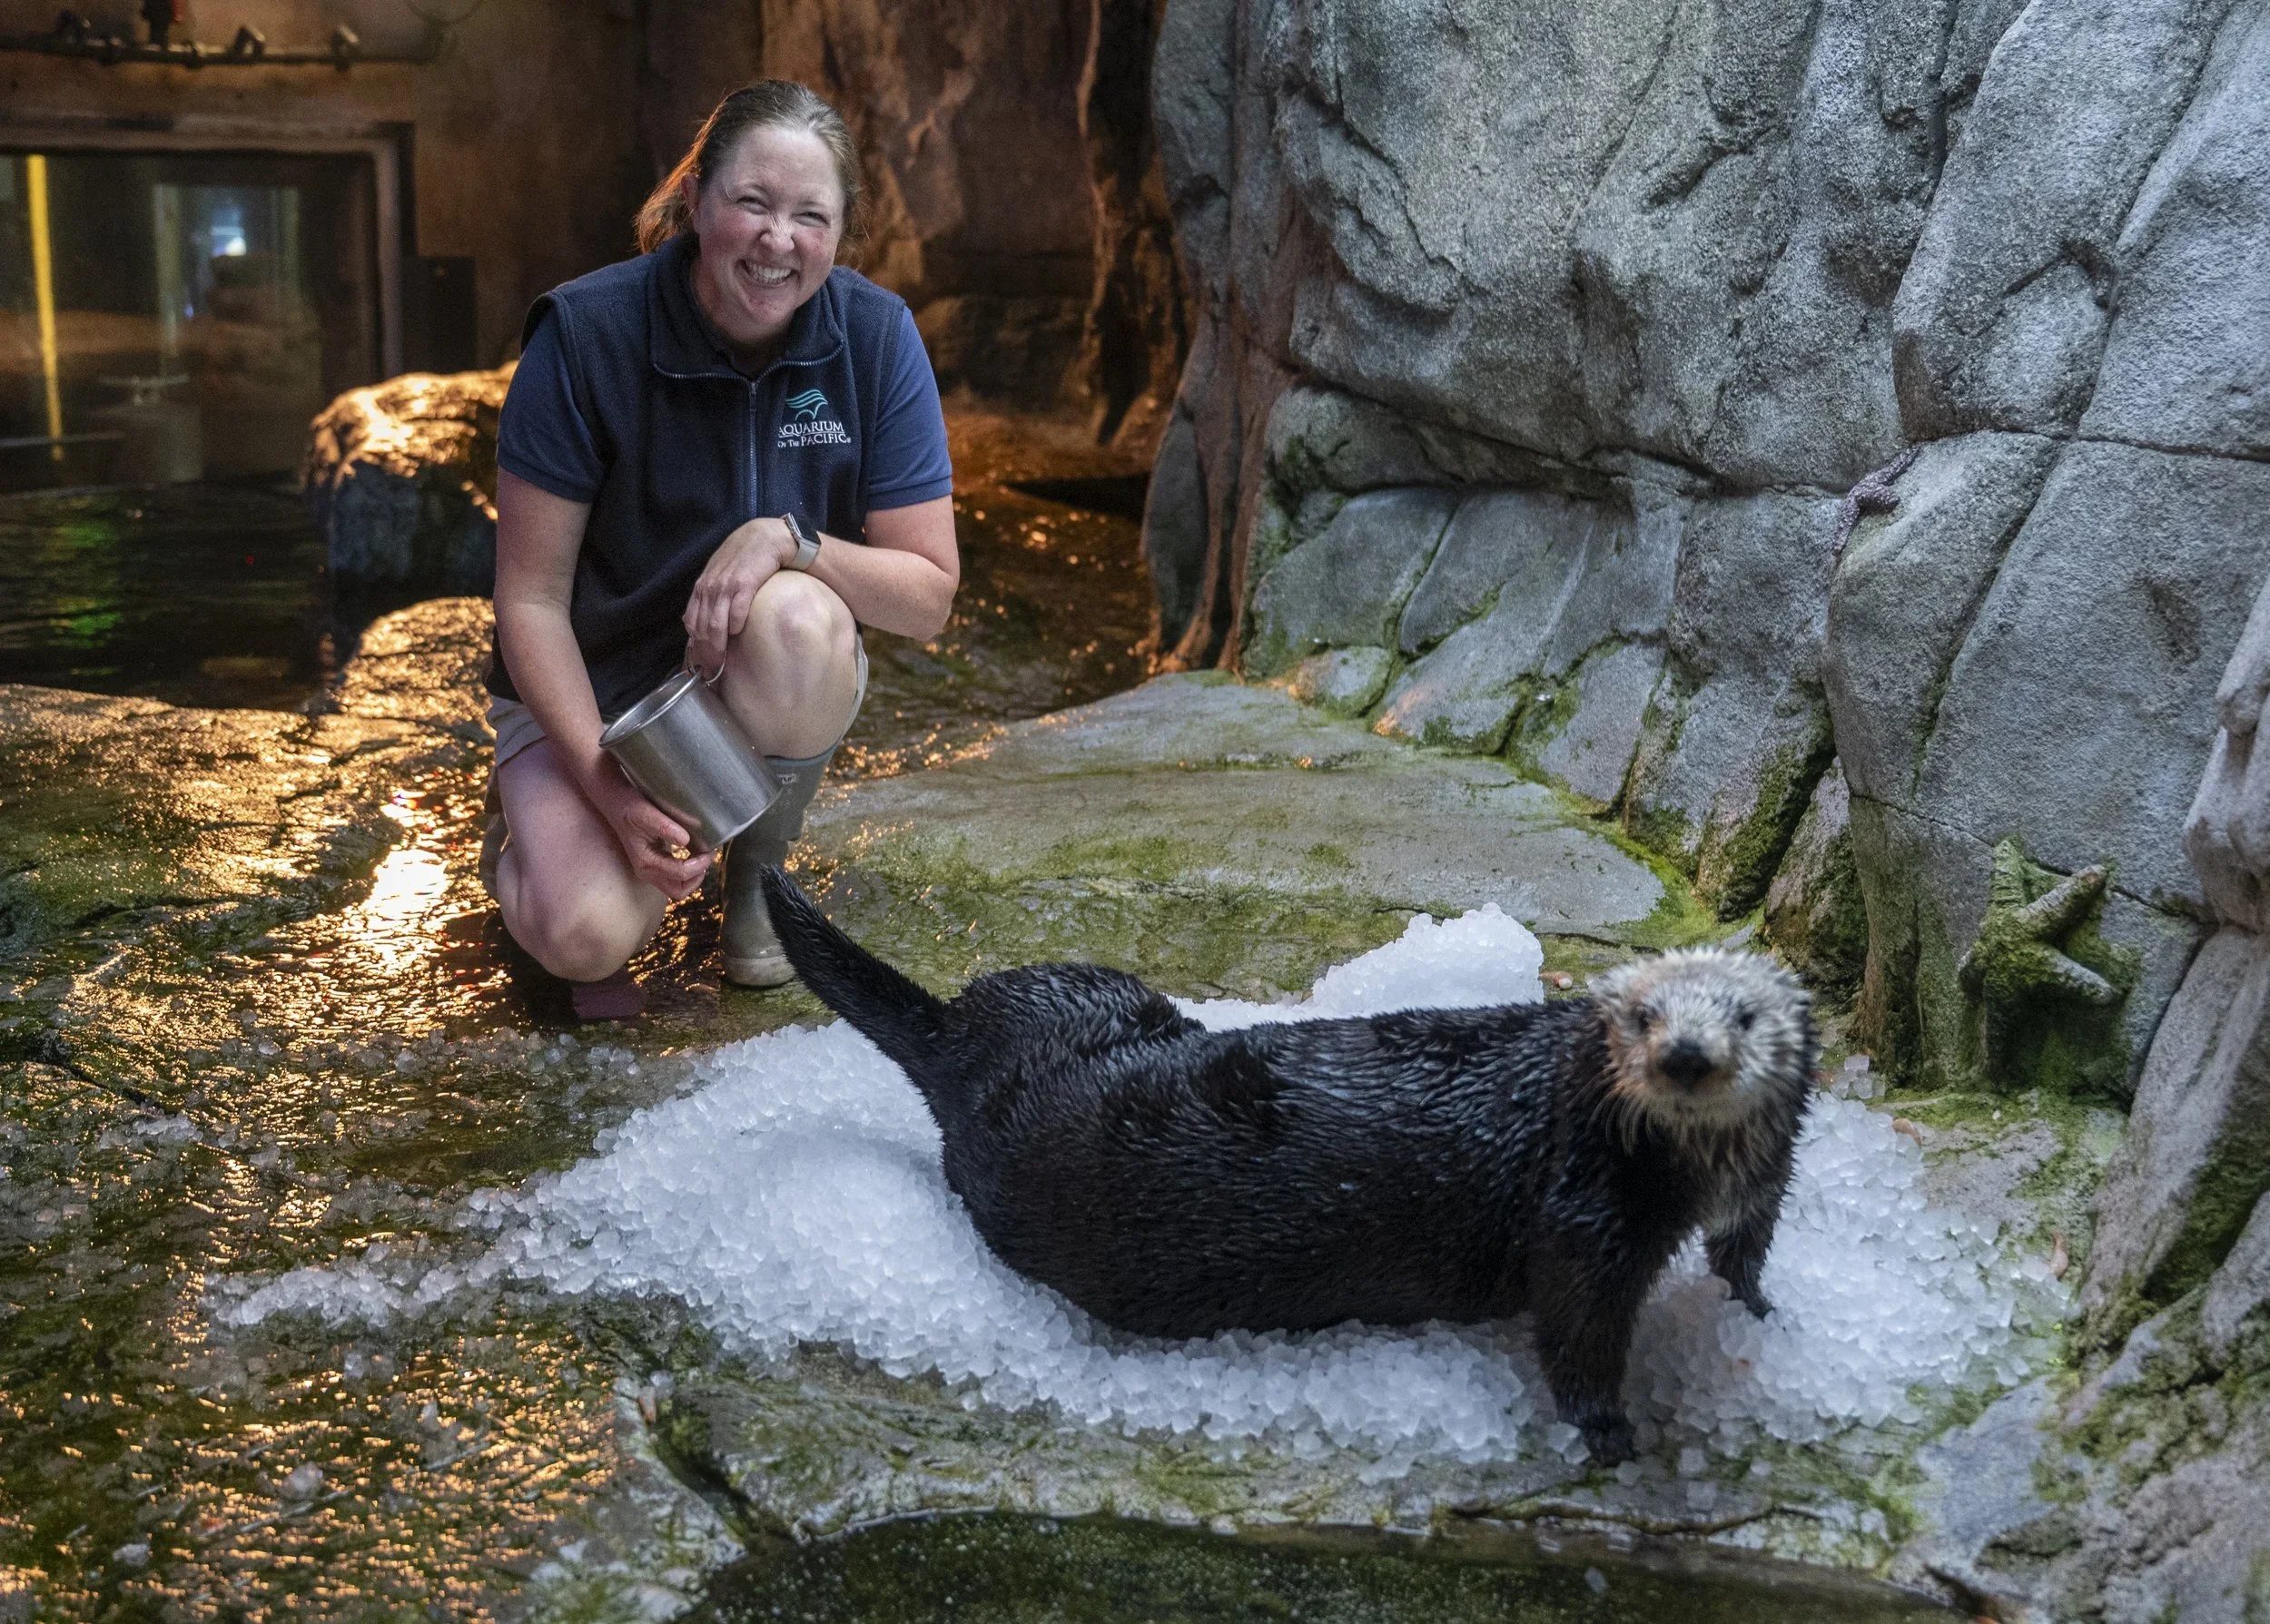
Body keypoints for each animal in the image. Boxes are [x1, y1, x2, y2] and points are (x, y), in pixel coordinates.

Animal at [760, 868, 1815, 1464]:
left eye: (1746, 1013)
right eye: (1642, 1013)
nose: (1685, 1054)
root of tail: (964, 1045)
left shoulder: (1759, 1185)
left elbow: (1745, 1252)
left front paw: (1761, 1313)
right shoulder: (1584, 1218)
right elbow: (1577, 1328)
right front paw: (1607, 1434)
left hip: (1077, 991)